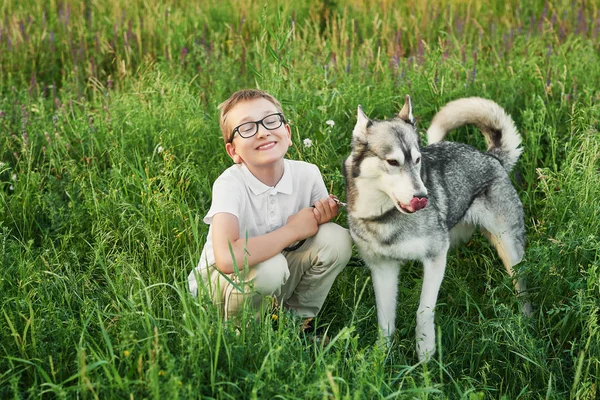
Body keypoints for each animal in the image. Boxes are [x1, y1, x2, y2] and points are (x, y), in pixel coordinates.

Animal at [344, 95, 532, 360]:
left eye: (417, 160)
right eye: (392, 162)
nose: (423, 197)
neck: (381, 215)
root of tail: (492, 157)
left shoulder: (434, 257)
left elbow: (423, 310)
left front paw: (425, 352)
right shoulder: (383, 269)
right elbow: (385, 321)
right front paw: (380, 358)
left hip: (510, 252)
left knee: (522, 290)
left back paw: (526, 324)